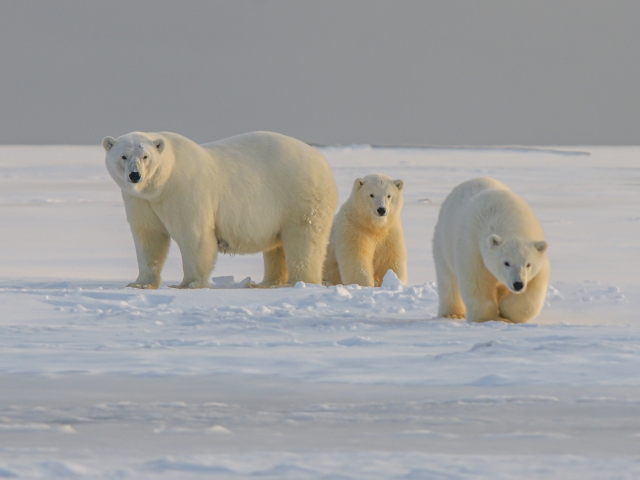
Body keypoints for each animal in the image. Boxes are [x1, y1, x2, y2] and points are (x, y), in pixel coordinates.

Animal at [102, 131, 338, 289]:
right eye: (123, 156)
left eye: (145, 156)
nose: (135, 175)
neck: (162, 184)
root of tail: (322, 160)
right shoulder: (140, 201)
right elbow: (148, 237)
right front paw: (140, 283)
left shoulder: (185, 190)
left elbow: (194, 235)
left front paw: (189, 284)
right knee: (277, 247)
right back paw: (266, 283)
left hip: (299, 196)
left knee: (303, 240)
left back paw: (299, 282)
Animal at [432, 177, 549, 323]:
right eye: (506, 262)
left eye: (528, 264)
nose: (518, 284)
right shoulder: (473, 247)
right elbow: (477, 281)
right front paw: (488, 318)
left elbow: (535, 287)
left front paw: (506, 312)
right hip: (443, 242)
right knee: (448, 279)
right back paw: (452, 314)